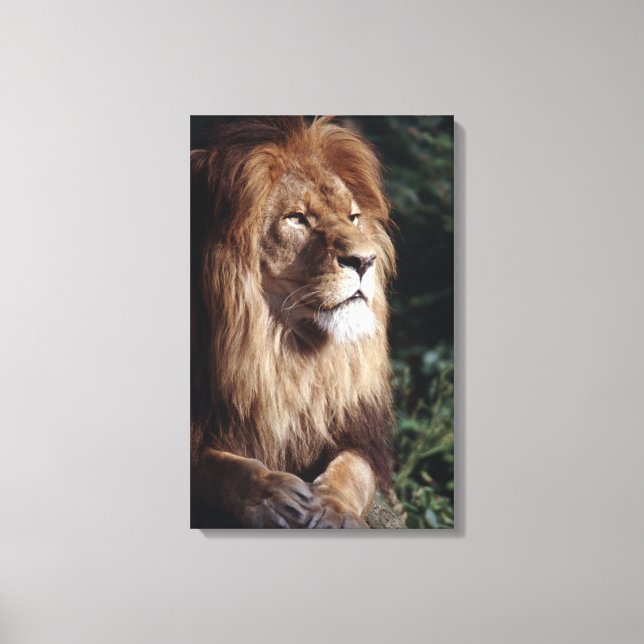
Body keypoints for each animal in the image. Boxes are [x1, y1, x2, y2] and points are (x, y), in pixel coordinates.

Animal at [190, 116, 396, 528]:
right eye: (297, 219)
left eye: (353, 218)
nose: (365, 261)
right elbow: (223, 467)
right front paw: (273, 495)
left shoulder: (358, 434)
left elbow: (352, 470)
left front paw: (333, 507)